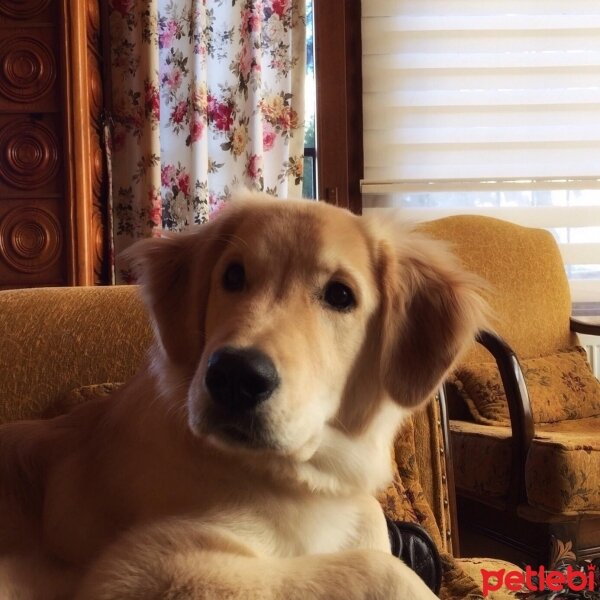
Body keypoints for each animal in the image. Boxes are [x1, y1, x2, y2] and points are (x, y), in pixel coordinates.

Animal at [0, 195, 488, 596]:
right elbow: (382, 569)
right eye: (233, 276)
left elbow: (372, 528)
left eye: (340, 295)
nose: (234, 376)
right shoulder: (143, 566)